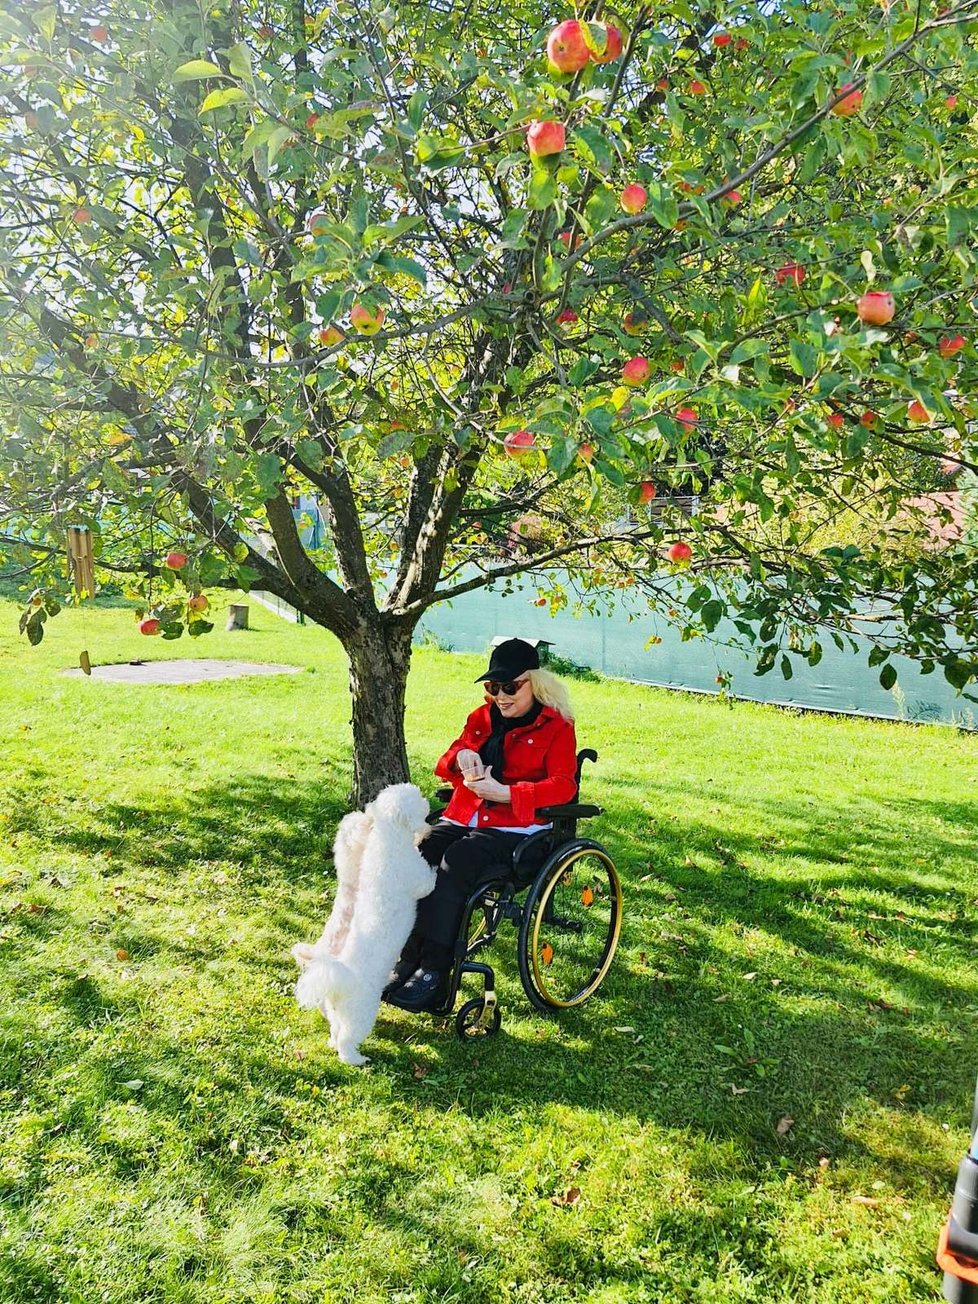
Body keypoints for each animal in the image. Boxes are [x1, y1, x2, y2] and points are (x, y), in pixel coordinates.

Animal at [293, 787, 435, 1064]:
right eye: (415, 797)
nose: (426, 799)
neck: (387, 839)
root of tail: (343, 980)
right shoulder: (416, 876)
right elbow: (428, 881)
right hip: (361, 1014)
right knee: (347, 1041)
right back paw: (356, 1059)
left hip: (338, 1014)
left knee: (336, 1031)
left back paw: (332, 1042)